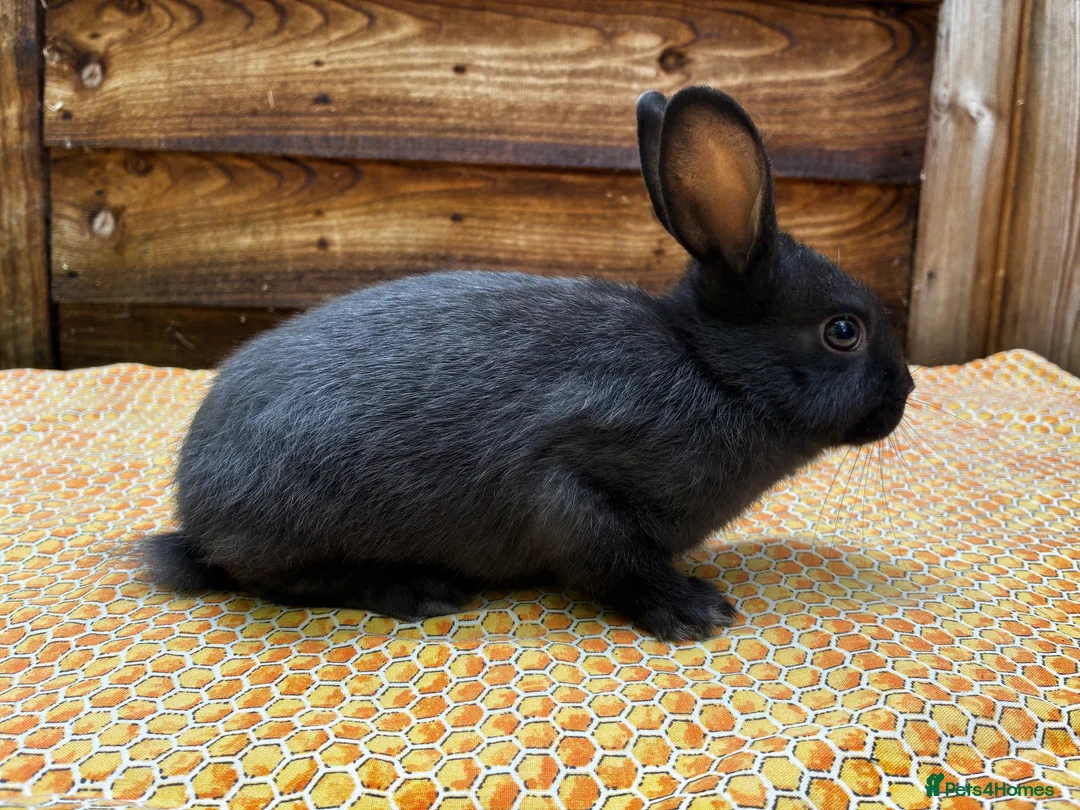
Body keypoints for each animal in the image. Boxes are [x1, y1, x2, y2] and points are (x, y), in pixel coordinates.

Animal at [144, 86, 914, 641]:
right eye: (843, 331)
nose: (904, 391)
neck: (709, 369)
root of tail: (196, 514)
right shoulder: (574, 479)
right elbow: (611, 560)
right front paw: (694, 611)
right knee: (284, 583)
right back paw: (416, 589)